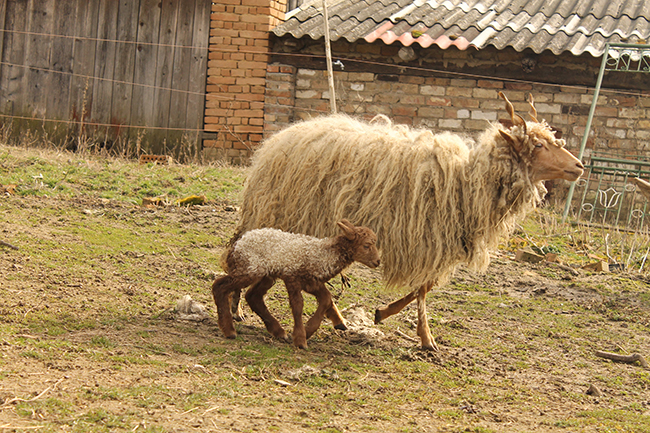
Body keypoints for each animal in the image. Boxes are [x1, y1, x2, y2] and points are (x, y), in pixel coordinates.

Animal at [210, 219, 380, 348]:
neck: (324, 254)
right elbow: (298, 306)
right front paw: (300, 339)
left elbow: (326, 299)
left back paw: (278, 332)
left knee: (253, 297)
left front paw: (309, 330)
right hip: (249, 269)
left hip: (266, 274)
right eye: (366, 245)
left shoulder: (312, 282)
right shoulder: (292, 277)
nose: (378, 262)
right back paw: (229, 331)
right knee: (219, 286)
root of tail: (237, 244)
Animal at [227, 92, 584, 352]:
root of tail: (279, 139)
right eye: (538, 145)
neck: (467, 182)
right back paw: (239, 309)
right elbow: (422, 288)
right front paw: (419, 333)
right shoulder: (426, 238)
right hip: (277, 215)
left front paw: (398, 322)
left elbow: (424, 288)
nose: (579, 166)